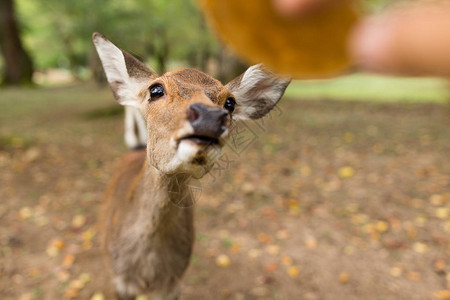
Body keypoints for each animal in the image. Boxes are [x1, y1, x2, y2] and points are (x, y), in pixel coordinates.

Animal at [92, 32, 290, 300]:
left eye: (230, 102)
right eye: (156, 89)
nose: (210, 116)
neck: (147, 272)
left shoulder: (173, 285)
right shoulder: (112, 280)